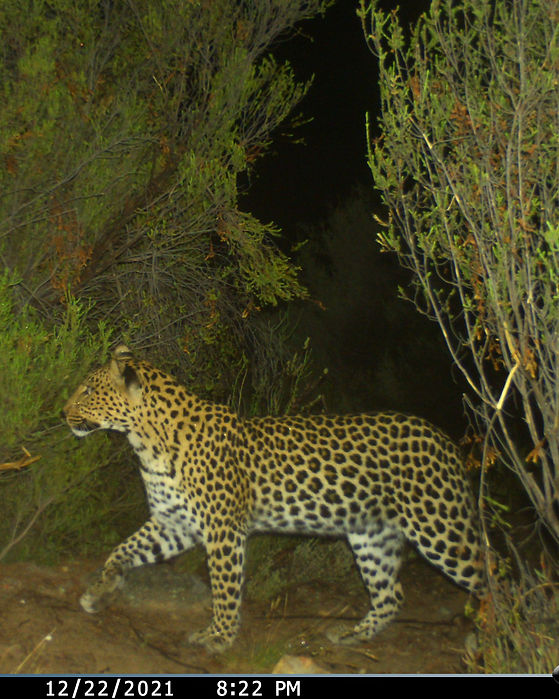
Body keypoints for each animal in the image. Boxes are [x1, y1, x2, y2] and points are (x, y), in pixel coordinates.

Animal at [63, 344, 484, 652]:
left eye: (88, 390)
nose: (63, 412)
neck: (146, 442)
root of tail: (444, 439)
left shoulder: (222, 530)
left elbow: (225, 588)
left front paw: (218, 637)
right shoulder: (174, 523)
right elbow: (122, 550)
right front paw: (100, 590)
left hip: (440, 529)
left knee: (488, 576)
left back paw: (489, 638)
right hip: (371, 535)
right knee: (391, 595)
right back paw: (351, 636)